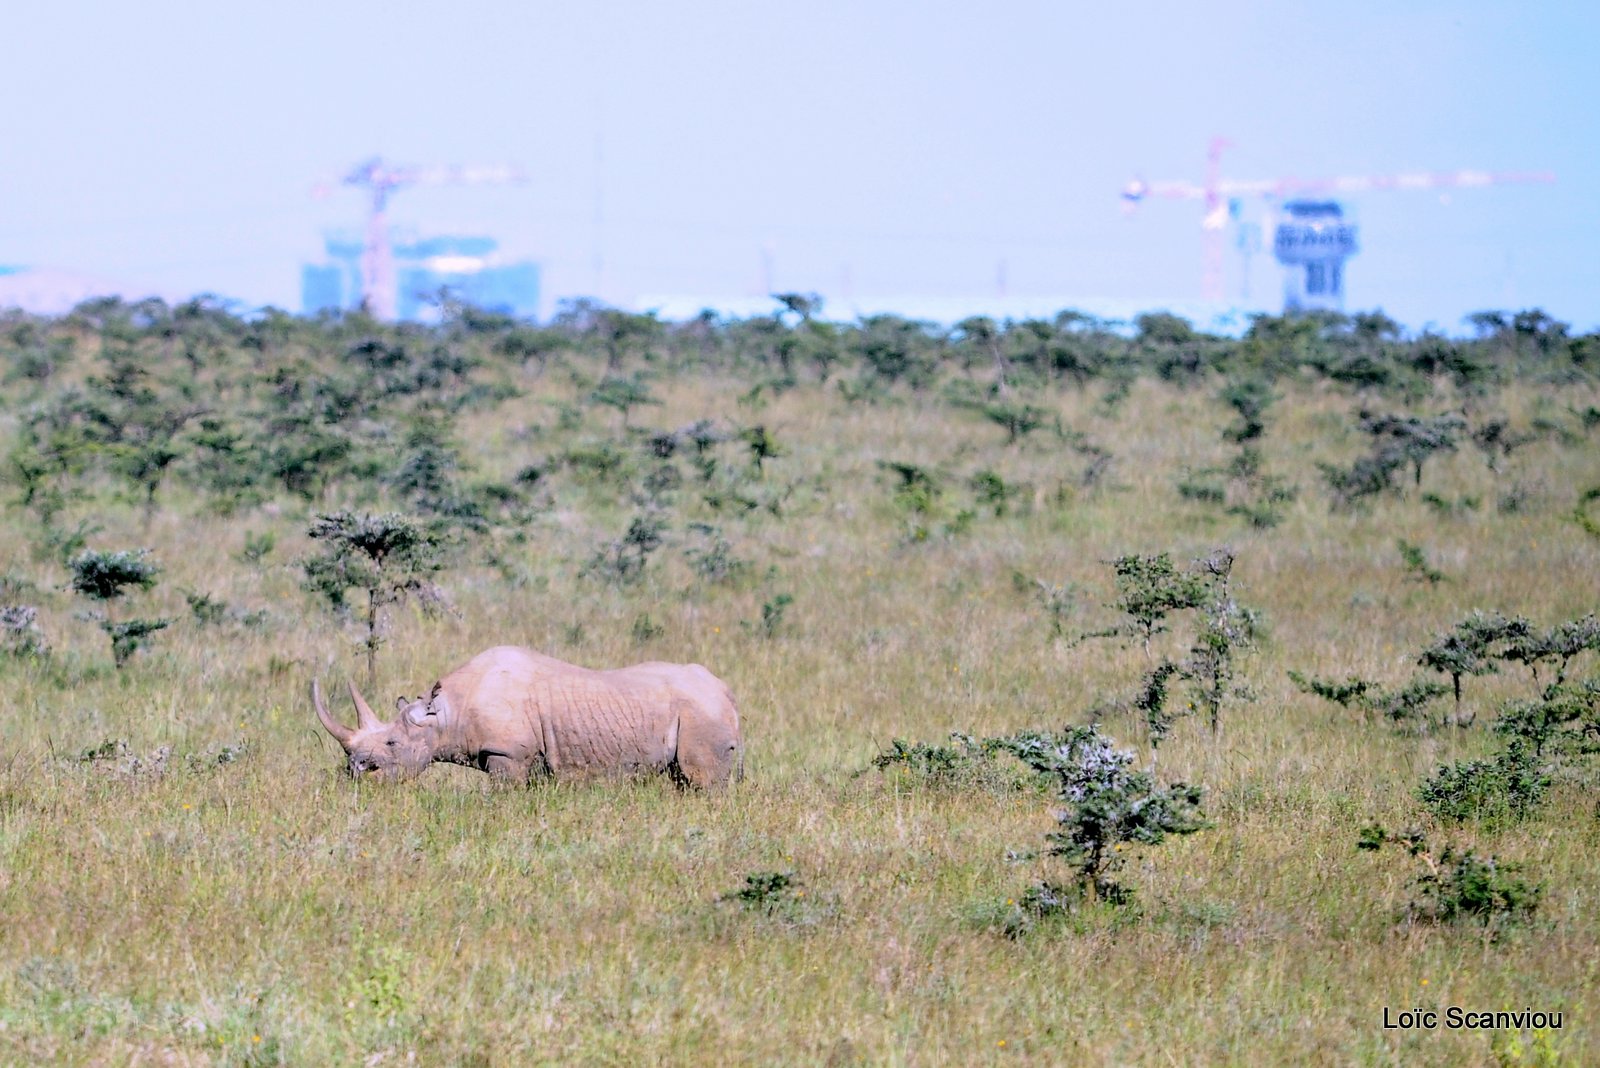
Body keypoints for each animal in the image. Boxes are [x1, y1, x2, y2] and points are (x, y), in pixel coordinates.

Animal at [315, 642, 745, 783]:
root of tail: (725, 689)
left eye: (391, 743)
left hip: (700, 713)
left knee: (703, 782)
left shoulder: (507, 753)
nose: (356, 771)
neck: (446, 713)